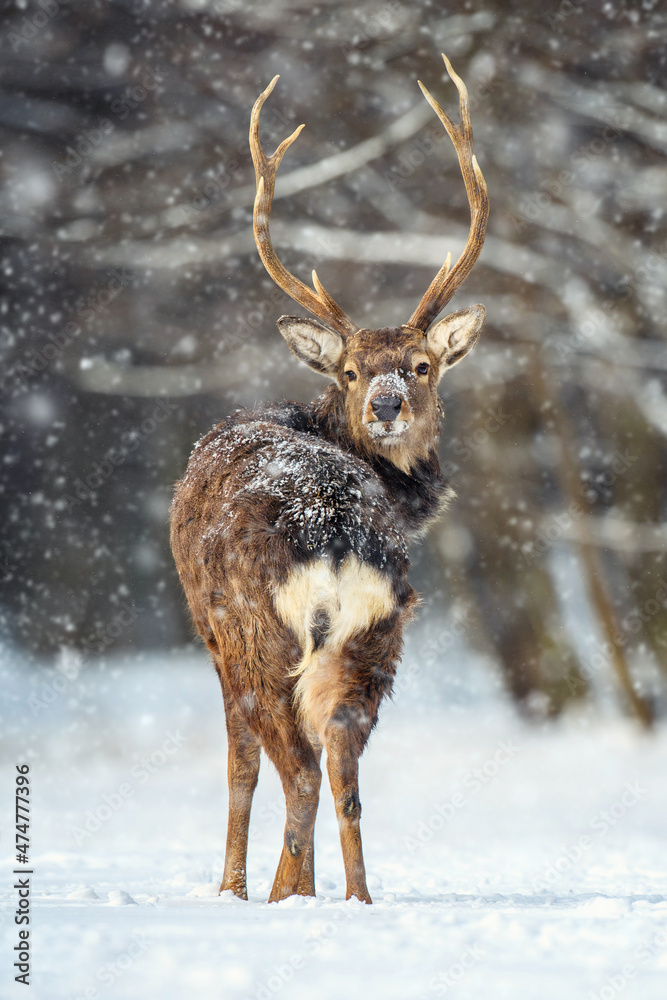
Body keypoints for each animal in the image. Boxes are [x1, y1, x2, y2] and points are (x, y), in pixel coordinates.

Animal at [170, 50, 488, 904]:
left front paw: (228, 890)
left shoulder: (210, 629)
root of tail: (337, 537)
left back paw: (287, 895)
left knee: (298, 773)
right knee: (342, 773)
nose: (386, 404)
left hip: (258, 633)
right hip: (376, 641)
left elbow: (238, 770)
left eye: (421, 365)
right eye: (351, 371)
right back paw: (353, 898)